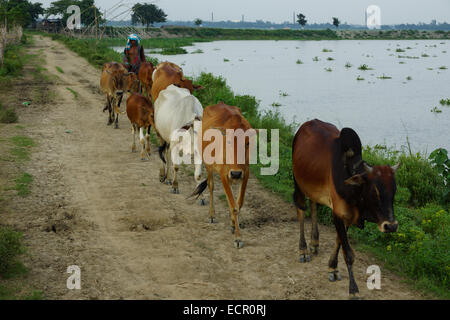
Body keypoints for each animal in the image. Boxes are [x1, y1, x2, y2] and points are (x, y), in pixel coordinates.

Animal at [190, 101, 256, 249]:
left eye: (247, 143)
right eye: (229, 142)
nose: (236, 173)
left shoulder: (245, 173)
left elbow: (238, 203)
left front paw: (233, 225)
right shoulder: (223, 174)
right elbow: (234, 206)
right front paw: (238, 238)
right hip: (209, 166)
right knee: (211, 186)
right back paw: (211, 215)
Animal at [292, 119, 400, 298]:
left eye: (394, 190)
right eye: (375, 191)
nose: (390, 226)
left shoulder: (348, 216)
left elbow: (339, 241)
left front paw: (333, 267)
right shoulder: (337, 213)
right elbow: (348, 253)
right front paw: (353, 290)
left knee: (313, 206)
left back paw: (315, 242)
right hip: (297, 182)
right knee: (301, 210)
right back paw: (304, 250)